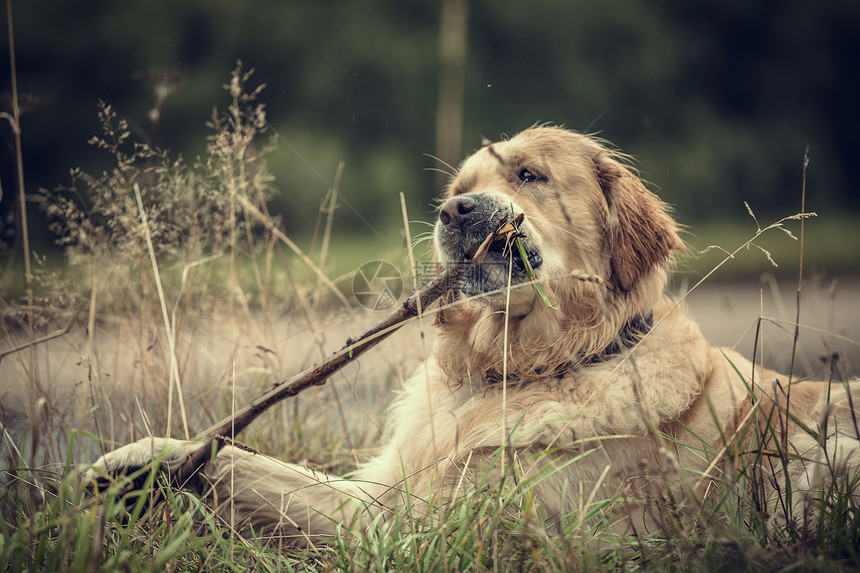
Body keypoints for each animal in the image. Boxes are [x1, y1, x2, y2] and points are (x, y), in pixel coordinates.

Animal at [90, 125, 856, 544]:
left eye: (529, 174)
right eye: (460, 187)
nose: (454, 211)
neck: (514, 370)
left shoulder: (428, 527)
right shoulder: (383, 495)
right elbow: (254, 464)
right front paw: (137, 461)